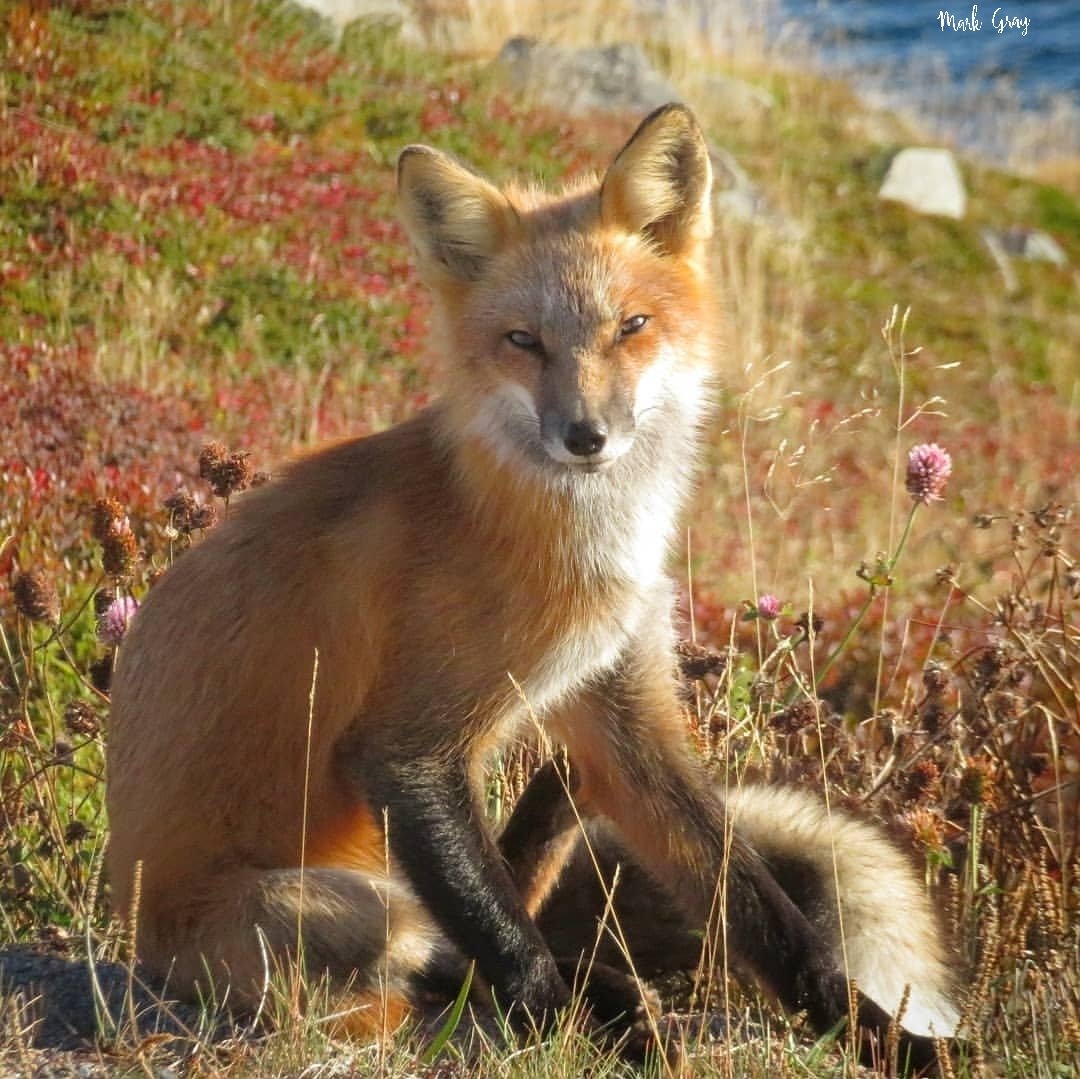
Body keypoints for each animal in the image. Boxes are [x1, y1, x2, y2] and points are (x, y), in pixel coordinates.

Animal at [106, 104, 957, 1069]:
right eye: (525, 341)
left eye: (631, 325)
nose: (585, 435)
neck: (577, 550)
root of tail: (133, 933)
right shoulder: (405, 750)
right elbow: (513, 950)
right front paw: (566, 1032)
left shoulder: (625, 710)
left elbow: (764, 912)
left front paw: (878, 1035)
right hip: (337, 904)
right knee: (455, 954)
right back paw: (613, 1014)